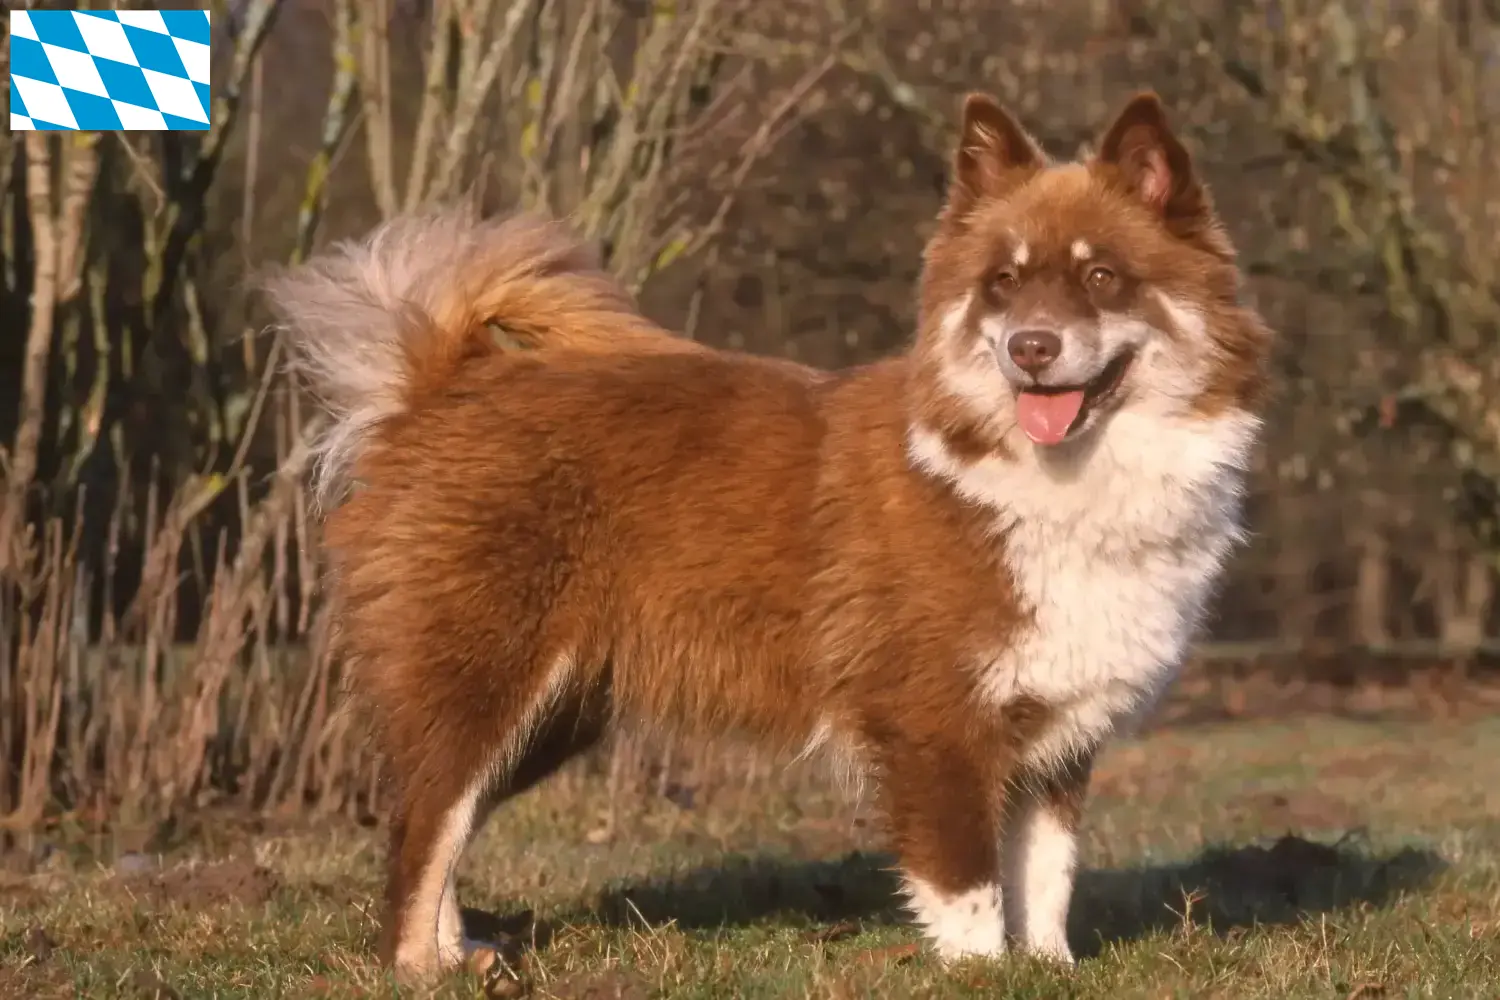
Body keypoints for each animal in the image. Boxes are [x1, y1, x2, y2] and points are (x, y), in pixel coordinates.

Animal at [264, 89, 1272, 983]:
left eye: (1102, 277)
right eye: (1005, 284)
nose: (1030, 347)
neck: (1040, 482)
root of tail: (441, 383)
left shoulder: (1056, 735)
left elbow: (1046, 879)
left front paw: (1051, 970)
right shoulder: (933, 726)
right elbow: (972, 890)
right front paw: (985, 976)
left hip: (549, 713)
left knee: (448, 818)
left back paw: (459, 954)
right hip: (483, 677)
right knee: (420, 828)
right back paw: (416, 969)